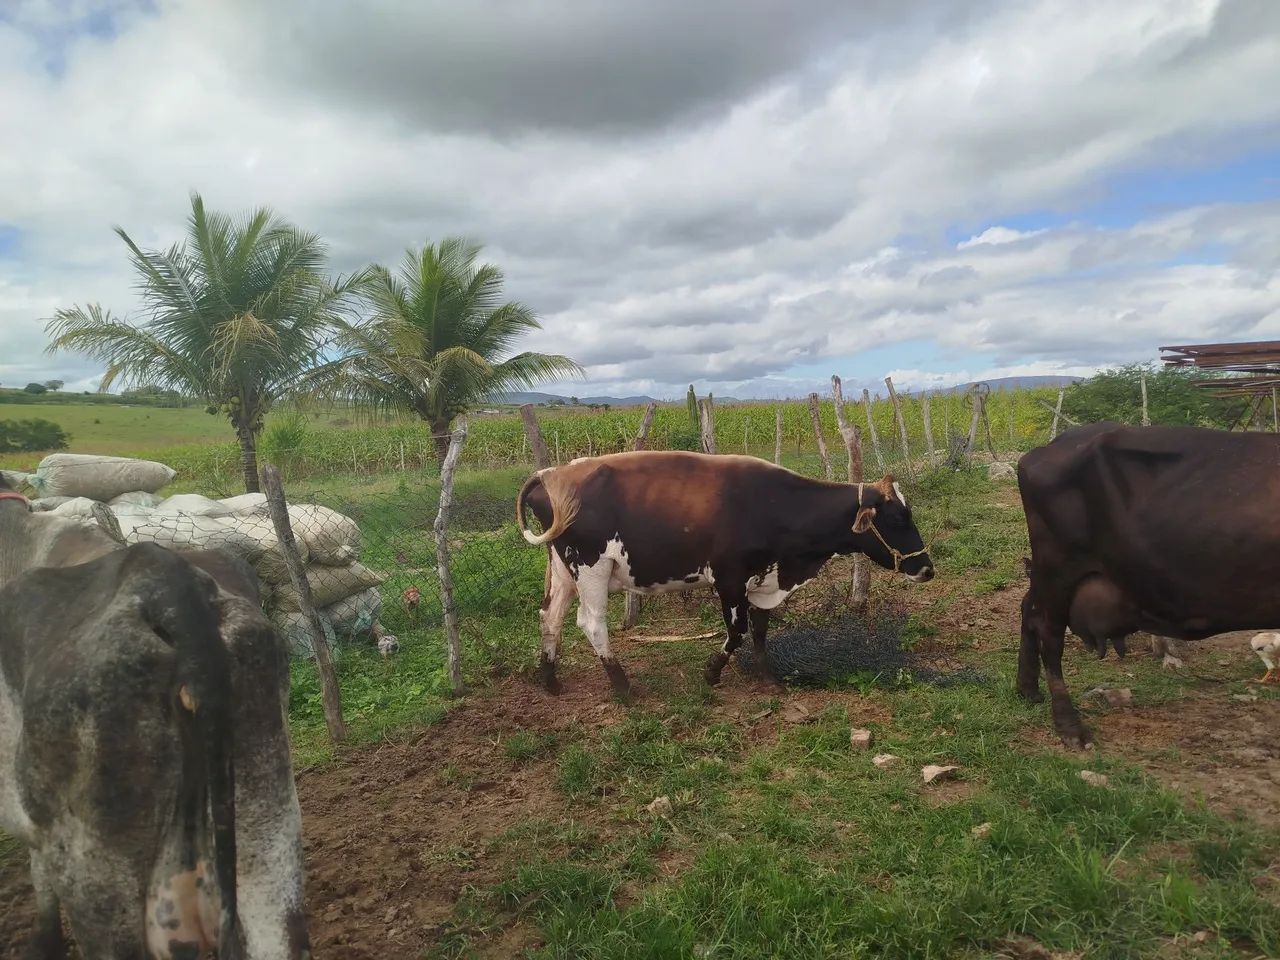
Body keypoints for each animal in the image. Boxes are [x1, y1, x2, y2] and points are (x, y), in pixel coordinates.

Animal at [516, 451, 934, 698]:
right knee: (591, 623)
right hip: (591, 568)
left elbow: (761, 630)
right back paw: (622, 686)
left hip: (563, 569)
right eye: (898, 518)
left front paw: (768, 677)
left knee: (549, 616)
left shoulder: (764, 580)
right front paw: (712, 673)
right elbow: (737, 631)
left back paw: (550, 679)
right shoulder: (728, 578)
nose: (927, 569)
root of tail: (552, 473)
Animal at [1017, 421, 1280, 748]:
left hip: (1049, 573)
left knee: (1028, 609)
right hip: (1058, 567)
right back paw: (1070, 727)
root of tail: (1049, 447)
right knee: (1049, 634)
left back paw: (1028, 689)